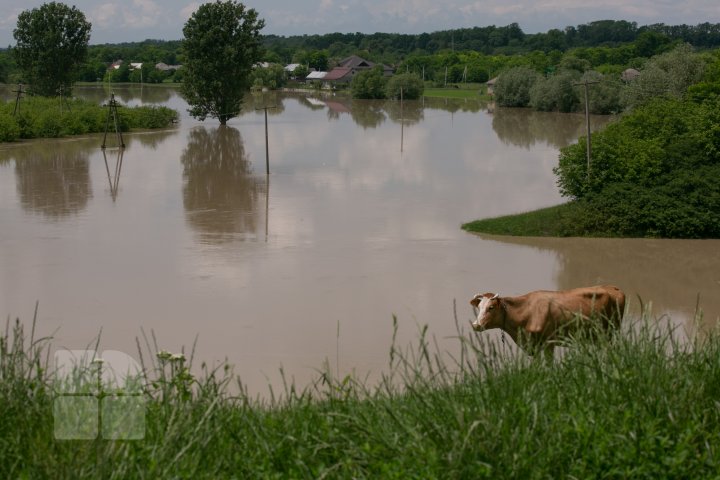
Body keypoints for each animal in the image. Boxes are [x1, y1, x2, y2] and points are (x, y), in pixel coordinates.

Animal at [470, 284, 628, 360]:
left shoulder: (548, 343)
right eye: (479, 307)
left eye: (490, 307)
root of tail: (613, 288)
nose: (476, 325)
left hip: (611, 332)